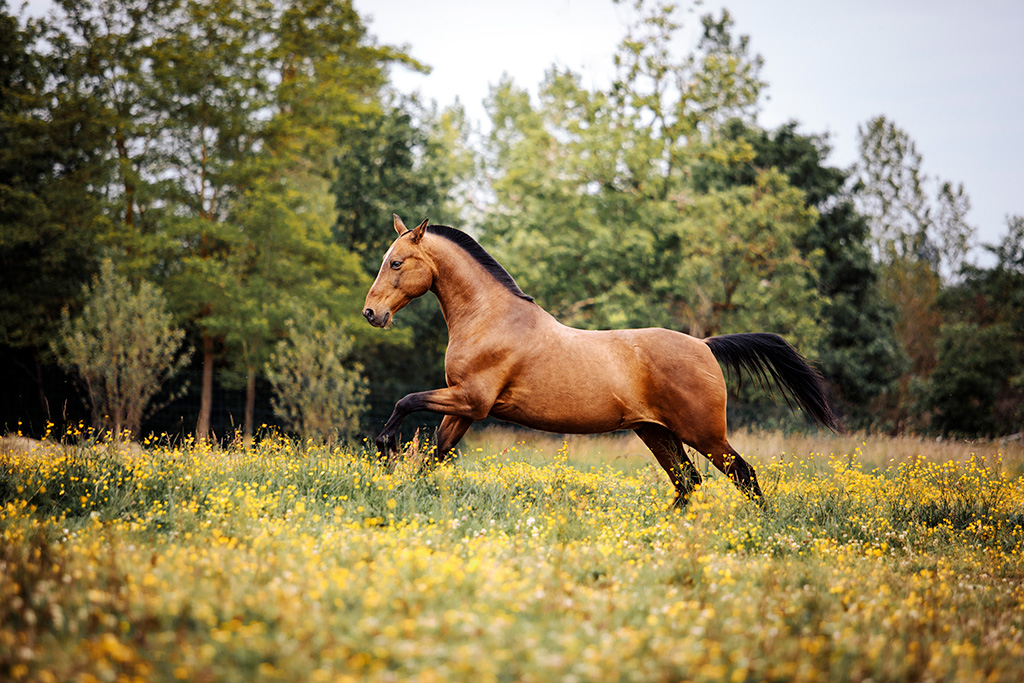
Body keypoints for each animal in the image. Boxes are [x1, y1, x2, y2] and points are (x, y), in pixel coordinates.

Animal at [362, 214, 839, 507]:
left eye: (397, 262)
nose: (371, 313)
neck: (490, 318)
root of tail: (705, 345)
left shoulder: (470, 400)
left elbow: (406, 402)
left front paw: (385, 452)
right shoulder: (463, 407)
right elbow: (435, 455)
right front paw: (404, 487)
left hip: (704, 434)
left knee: (743, 474)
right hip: (655, 432)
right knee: (688, 482)